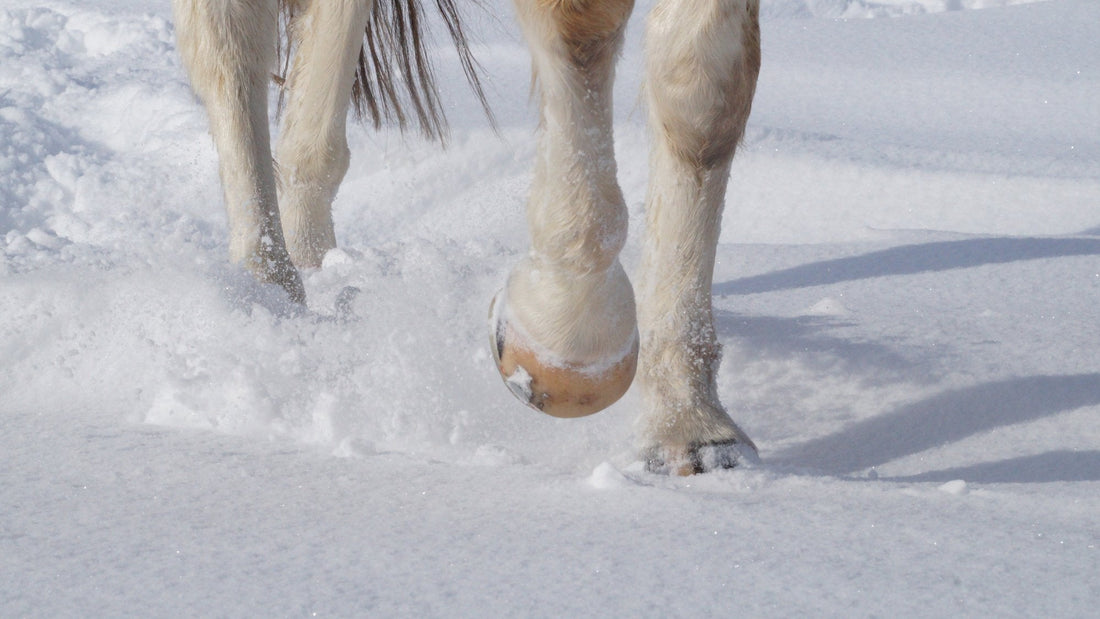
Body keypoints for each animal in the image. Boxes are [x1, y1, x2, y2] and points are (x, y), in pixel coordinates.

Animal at [172, 0, 760, 475]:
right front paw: (563, 343)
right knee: (230, 43)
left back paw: (320, 271)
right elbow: (579, 31)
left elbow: (703, 93)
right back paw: (267, 301)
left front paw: (689, 424)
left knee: (309, 124)